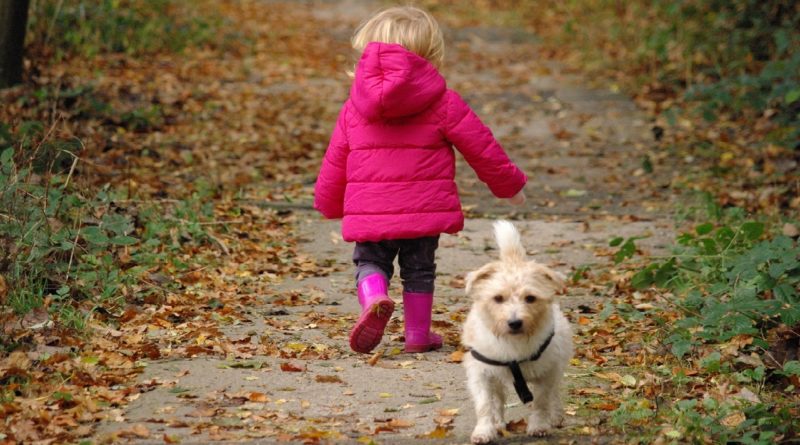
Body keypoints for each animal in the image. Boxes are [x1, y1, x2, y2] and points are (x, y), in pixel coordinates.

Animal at [460, 220, 572, 442]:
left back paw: (556, 415)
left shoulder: (547, 371)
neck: (513, 344)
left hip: (558, 363)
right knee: (498, 399)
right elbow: (485, 404)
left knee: (555, 392)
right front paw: (484, 430)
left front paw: (539, 425)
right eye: (497, 298)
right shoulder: (481, 373)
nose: (514, 322)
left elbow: (541, 401)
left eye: (530, 298)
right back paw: (497, 422)